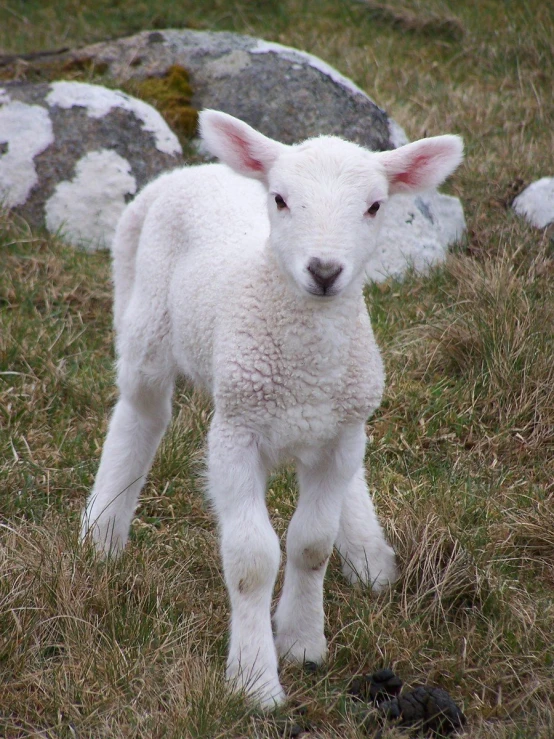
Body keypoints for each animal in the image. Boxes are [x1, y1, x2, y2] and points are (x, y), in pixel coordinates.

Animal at [82, 108, 462, 704]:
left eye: (375, 206)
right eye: (281, 199)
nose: (325, 270)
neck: (305, 364)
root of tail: (186, 173)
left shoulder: (339, 436)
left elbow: (311, 545)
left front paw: (303, 642)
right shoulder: (236, 433)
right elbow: (253, 560)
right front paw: (254, 680)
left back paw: (369, 556)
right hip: (149, 323)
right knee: (141, 415)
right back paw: (102, 533)